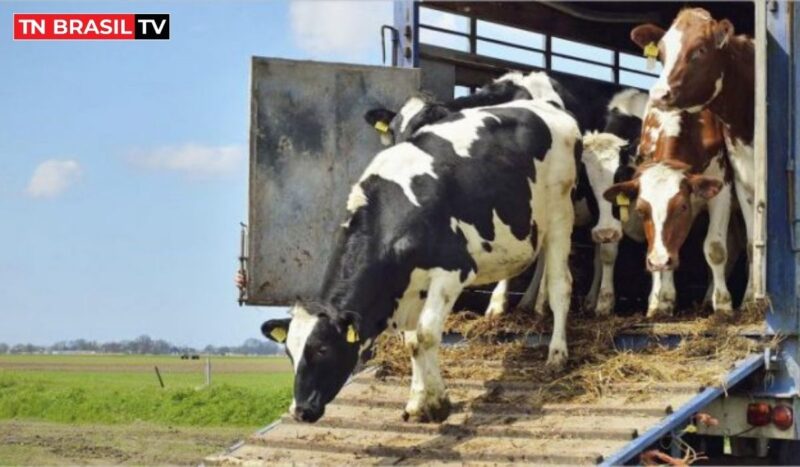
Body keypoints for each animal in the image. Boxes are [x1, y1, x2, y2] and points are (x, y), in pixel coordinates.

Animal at [262, 98, 580, 424]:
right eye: (289, 353)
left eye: (322, 349)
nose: (300, 410)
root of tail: (545, 105)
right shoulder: (410, 288)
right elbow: (412, 341)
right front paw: (417, 401)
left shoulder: (452, 270)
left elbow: (426, 335)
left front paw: (438, 403)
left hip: (560, 212)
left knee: (561, 286)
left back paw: (557, 353)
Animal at [608, 107, 732, 318]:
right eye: (640, 210)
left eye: (682, 207)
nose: (658, 260)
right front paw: (662, 300)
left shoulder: (721, 189)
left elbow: (715, 249)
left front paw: (723, 304)